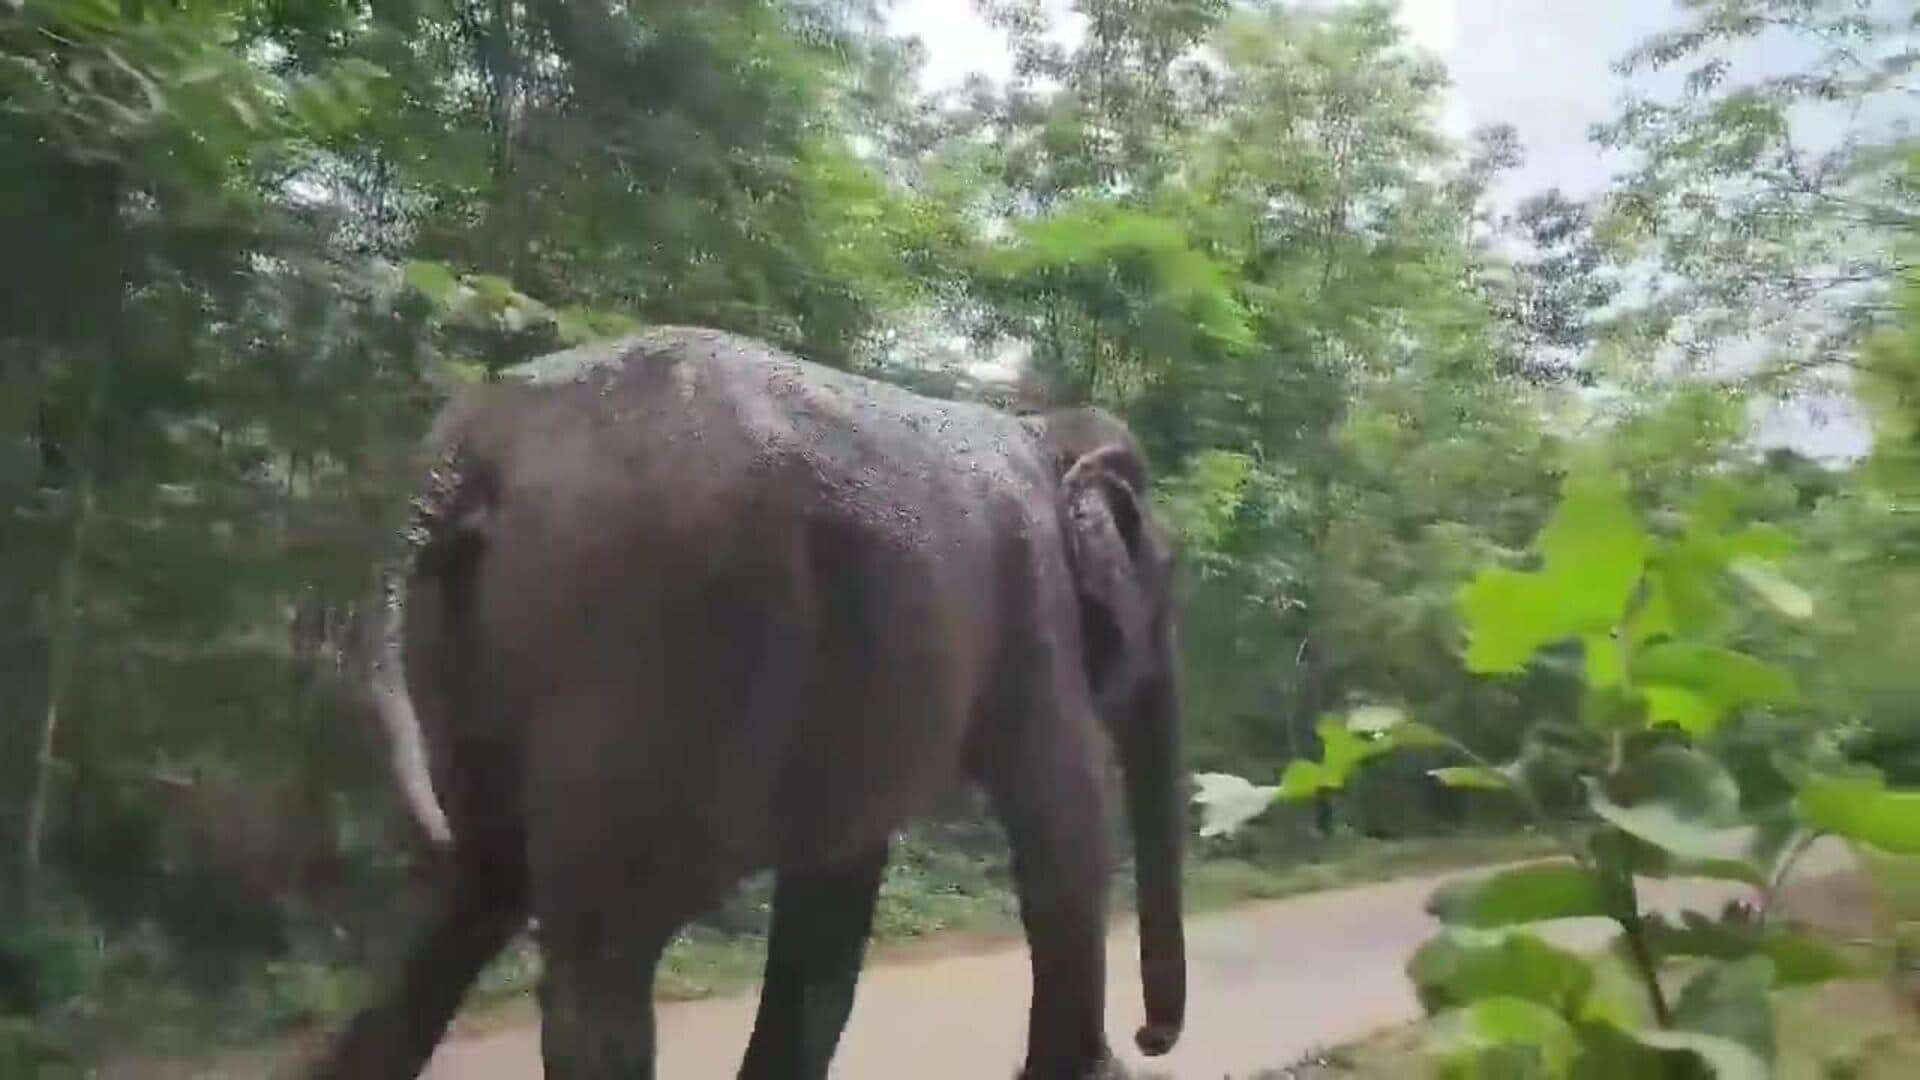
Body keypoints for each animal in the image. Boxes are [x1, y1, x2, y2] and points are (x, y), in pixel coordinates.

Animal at [318, 328, 1182, 1076]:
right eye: (1168, 582)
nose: (1151, 1037)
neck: (1048, 432)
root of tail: (475, 449)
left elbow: (835, 889)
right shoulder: (1036, 612)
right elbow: (1066, 818)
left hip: (463, 642)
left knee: (461, 896)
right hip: (656, 637)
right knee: (601, 953)